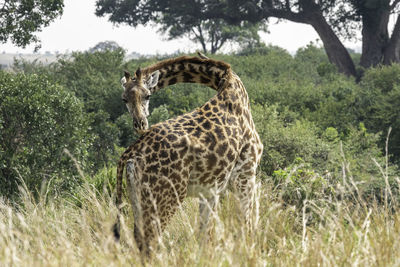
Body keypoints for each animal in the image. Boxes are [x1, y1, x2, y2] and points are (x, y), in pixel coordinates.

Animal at [115, 55, 262, 255]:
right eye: (124, 99)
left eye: (147, 95)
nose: (140, 124)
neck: (227, 81)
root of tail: (130, 153)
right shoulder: (246, 173)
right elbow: (245, 226)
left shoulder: (210, 189)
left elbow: (205, 236)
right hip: (166, 196)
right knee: (151, 241)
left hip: (137, 196)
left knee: (139, 239)